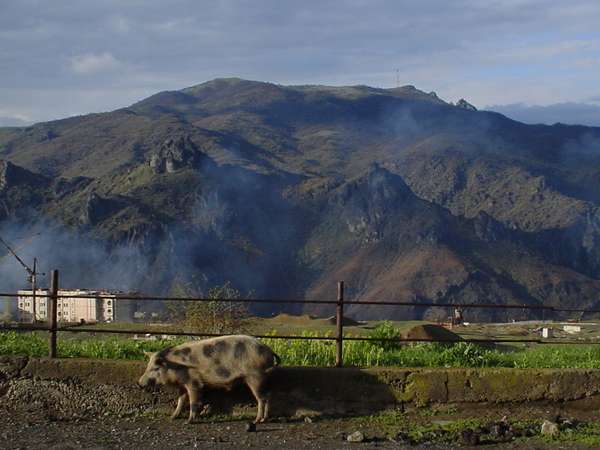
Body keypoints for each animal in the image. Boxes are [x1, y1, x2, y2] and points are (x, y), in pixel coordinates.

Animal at [138, 334, 282, 426]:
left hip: (255, 376)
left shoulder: (193, 382)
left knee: (262, 398)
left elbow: (193, 401)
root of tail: (269, 350)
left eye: (155, 368)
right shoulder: (182, 384)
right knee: (268, 396)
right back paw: (263, 420)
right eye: (147, 366)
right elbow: (180, 400)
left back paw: (256, 421)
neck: (177, 366)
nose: (139, 383)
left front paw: (188, 422)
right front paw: (172, 417)